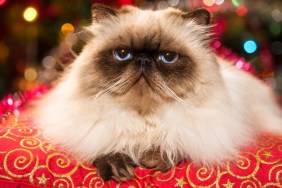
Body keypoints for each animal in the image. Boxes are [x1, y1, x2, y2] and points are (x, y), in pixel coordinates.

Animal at [34, 3, 282, 182]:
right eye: (122, 54)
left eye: (168, 57)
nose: (143, 60)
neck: (145, 116)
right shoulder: (90, 128)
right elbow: (106, 142)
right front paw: (117, 167)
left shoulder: (207, 131)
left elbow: (177, 140)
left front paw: (154, 158)